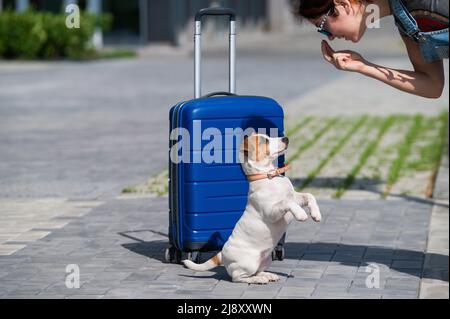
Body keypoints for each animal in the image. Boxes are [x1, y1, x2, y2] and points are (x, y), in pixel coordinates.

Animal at [181, 134, 322, 284]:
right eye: (265, 141)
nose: (286, 138)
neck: (268, 176)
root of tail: (222, 253)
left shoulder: (295, 197)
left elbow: (309, 195)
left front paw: (316, 214)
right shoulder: (271, 211)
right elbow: (286, 202)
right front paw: (301, 214)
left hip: (266, 258)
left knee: (257, 271)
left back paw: (267, 275)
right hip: (249, 263)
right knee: (238, 277)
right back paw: (258, 280)